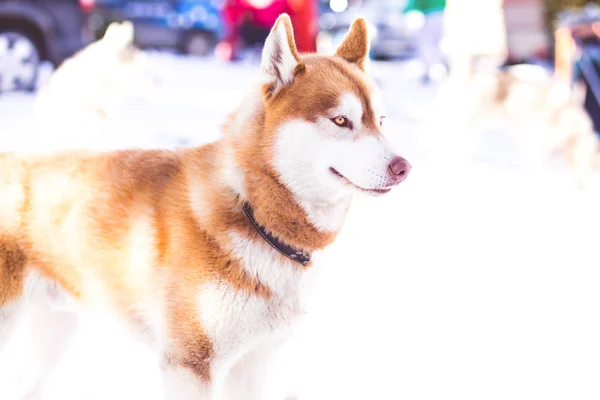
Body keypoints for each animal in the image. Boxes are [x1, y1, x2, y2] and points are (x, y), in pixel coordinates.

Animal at [0, 14, 410, 398]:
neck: (254, 213)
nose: (403, 167)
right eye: (341, 120)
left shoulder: (252, 366)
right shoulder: (190, 365)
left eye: (381, 121)